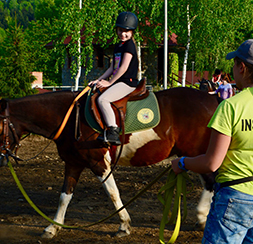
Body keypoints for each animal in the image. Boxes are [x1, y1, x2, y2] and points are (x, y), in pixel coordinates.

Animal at [0, 87, 218, 238]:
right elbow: (64, 196)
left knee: (210, 181)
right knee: (208, 181)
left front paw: (124, 225)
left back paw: (202, 217)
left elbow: (112, 193)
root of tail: (212, 100)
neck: (71, 118)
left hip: (197, 152)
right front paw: (53, 227)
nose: (2, 158)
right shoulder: (73, 163)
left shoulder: (98, 163)